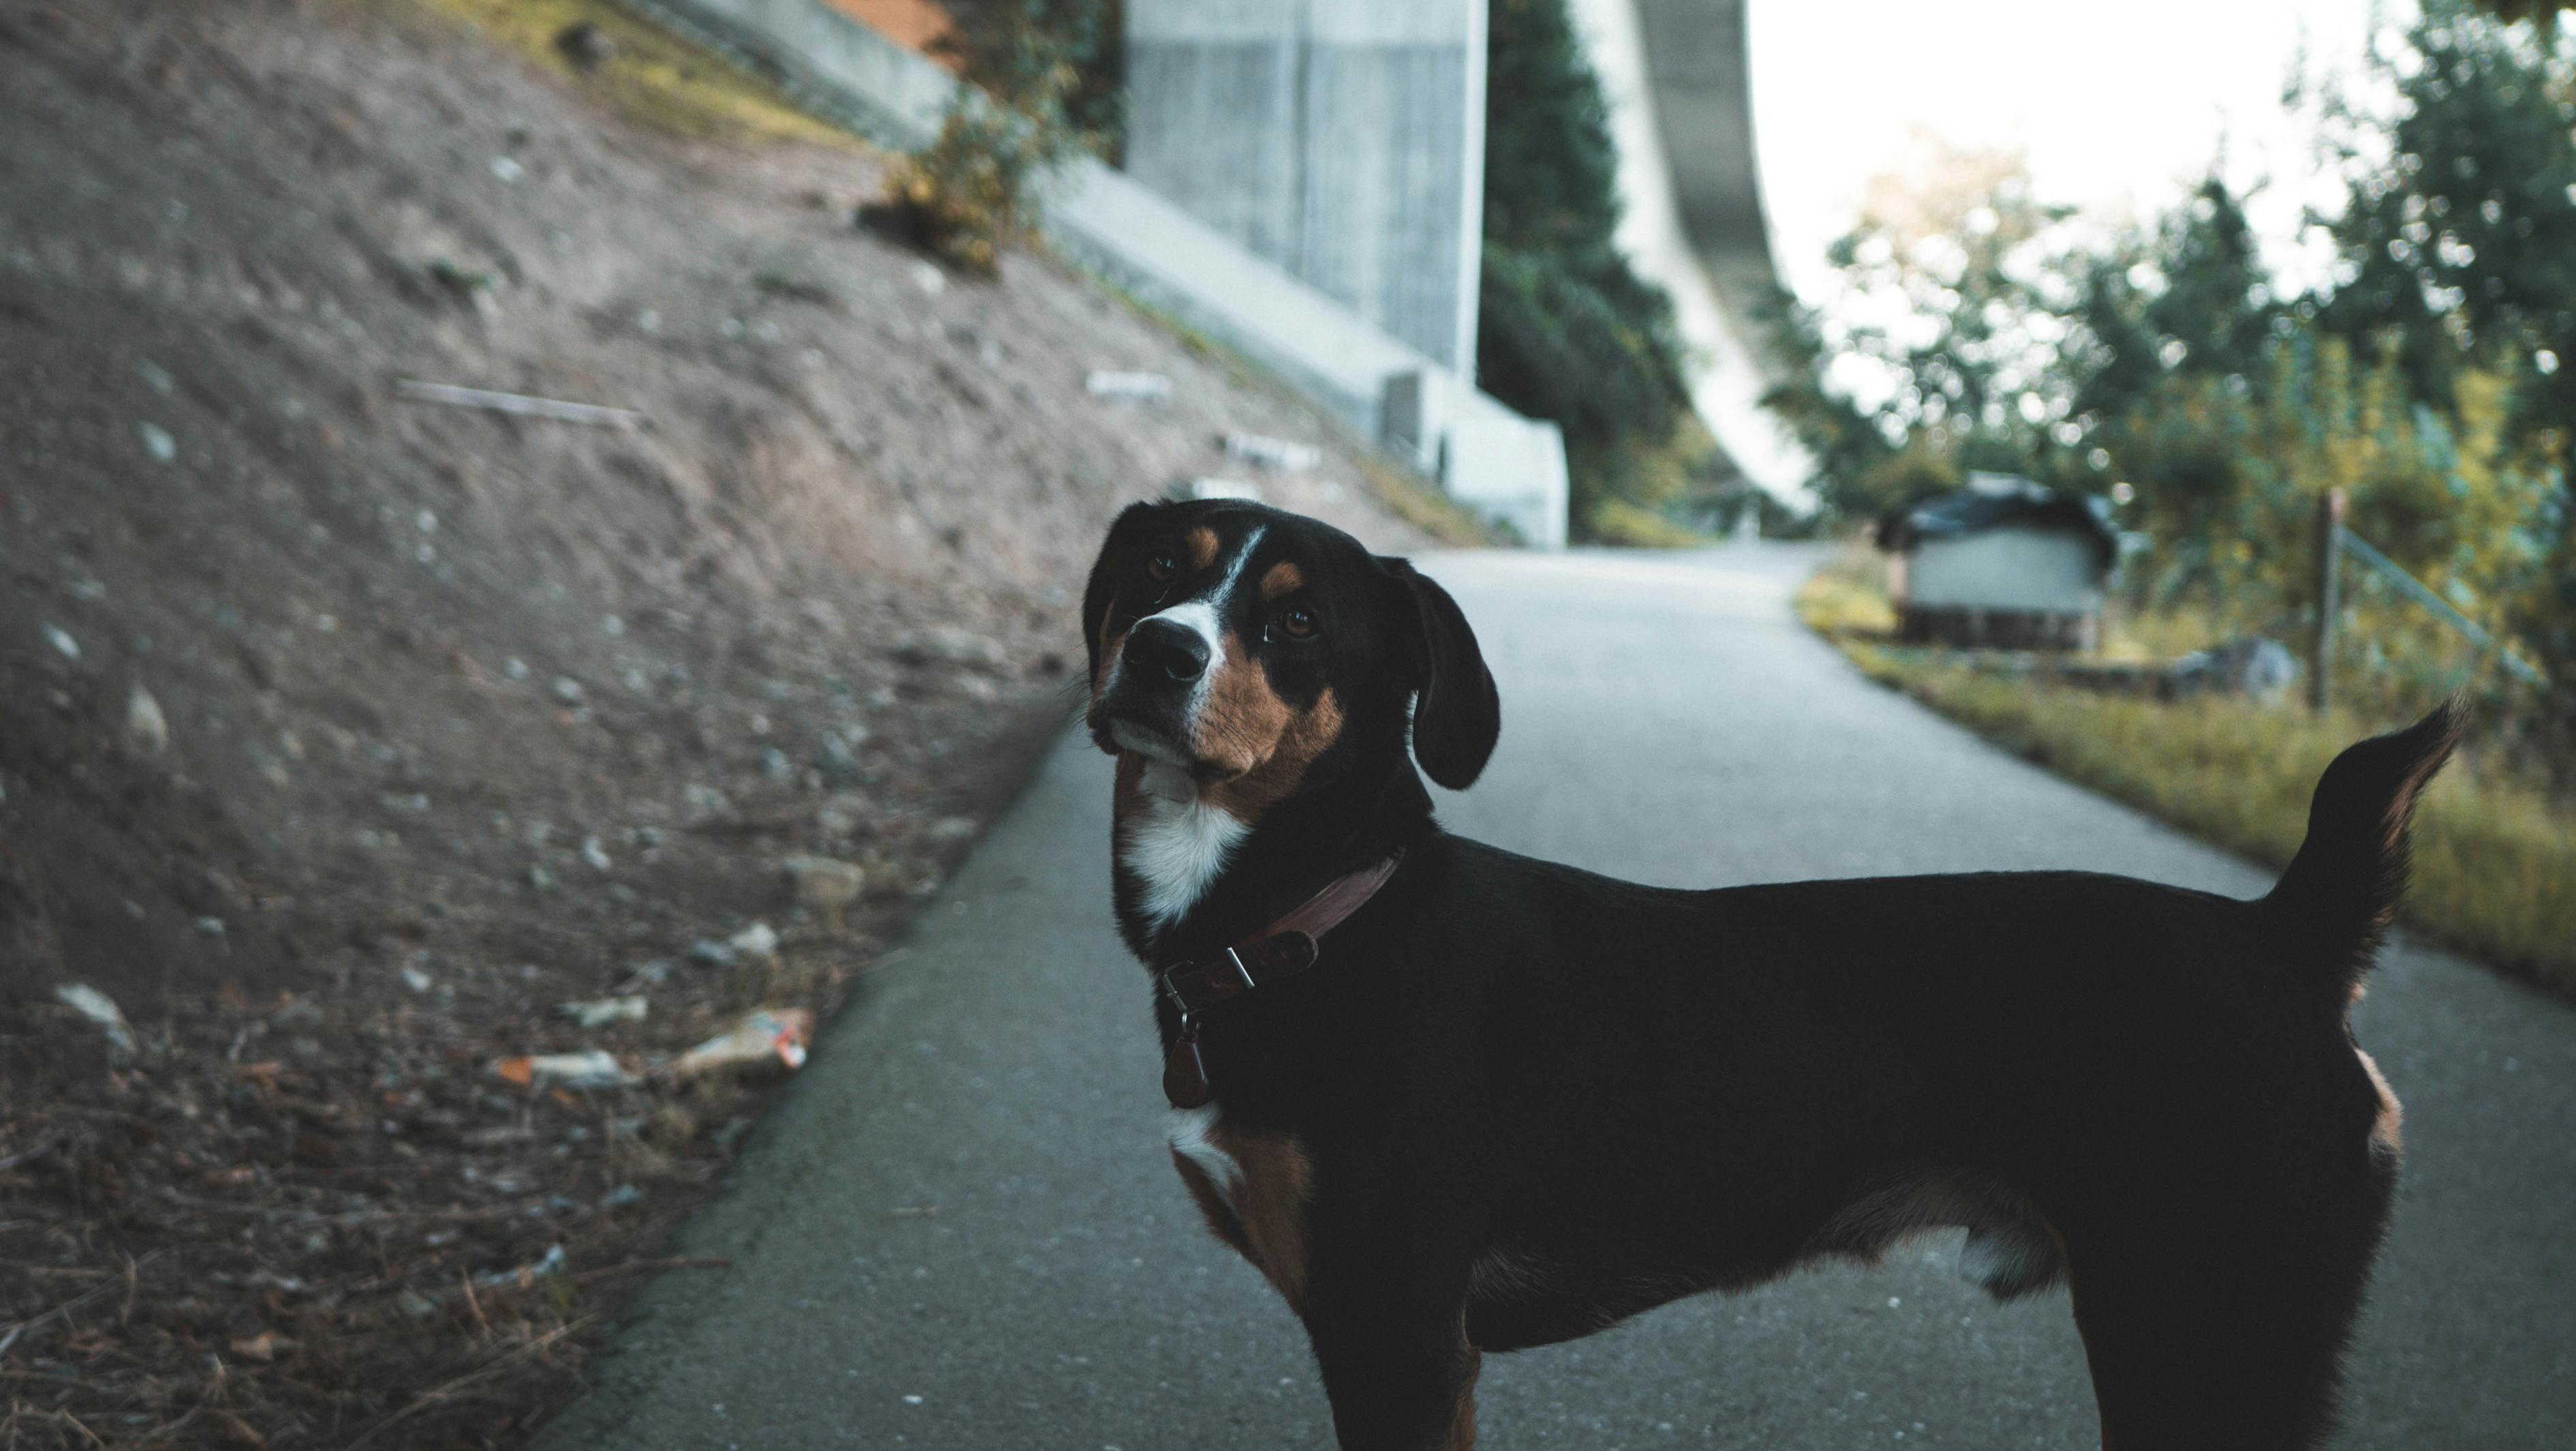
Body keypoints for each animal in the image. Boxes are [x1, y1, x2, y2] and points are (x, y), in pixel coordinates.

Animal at [1082, 502, 2452, 1451]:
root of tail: (2290, 934)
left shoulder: (1398, 1332)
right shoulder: (1419, 1346)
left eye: (1298, 621)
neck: (1315, 922)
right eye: (1156, 573)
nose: (1156, 652)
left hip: (2205, 1333)